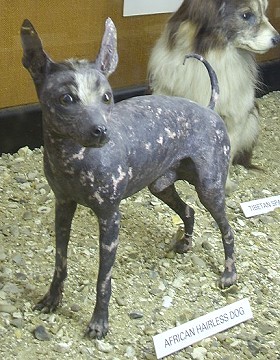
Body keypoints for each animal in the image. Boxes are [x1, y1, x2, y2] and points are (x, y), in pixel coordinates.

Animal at [20, 18, 237, 338]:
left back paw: (229, 273)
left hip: (210, 188)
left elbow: (103, 279)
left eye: (107, 97)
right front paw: (52, 299)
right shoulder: (63, 208)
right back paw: (185, 244)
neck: (74, 158)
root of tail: (208, 109)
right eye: (67, 98)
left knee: (228, 230)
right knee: (189, 210)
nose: (101, 131)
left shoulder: (110, 218)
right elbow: (60, 262)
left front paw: (99, 322)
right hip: (161, 186)